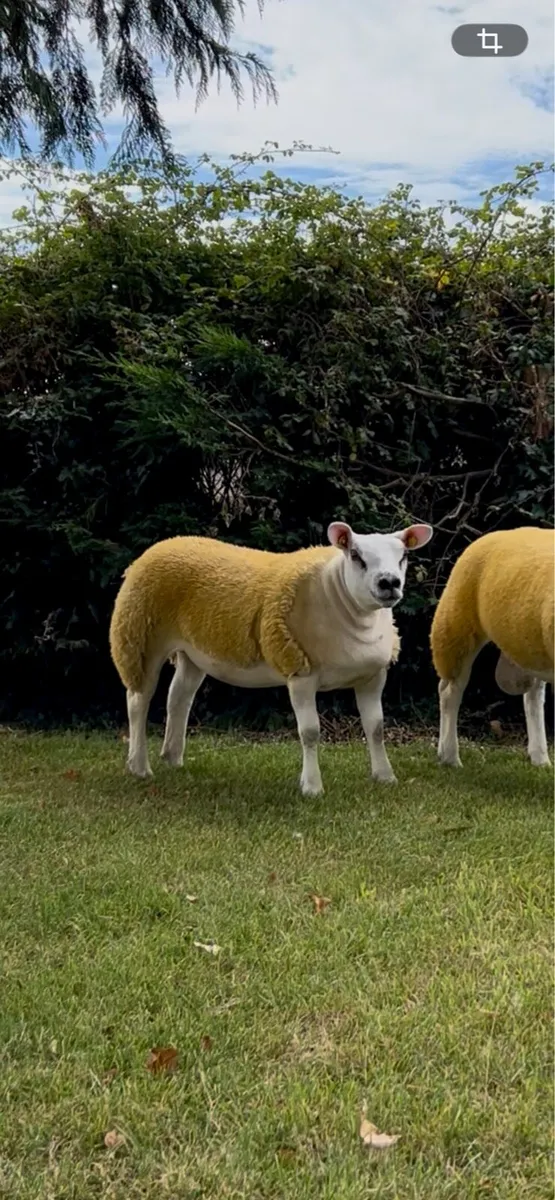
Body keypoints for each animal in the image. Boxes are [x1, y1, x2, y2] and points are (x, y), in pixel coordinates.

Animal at [109, 521, 433, 794]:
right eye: (356, 555)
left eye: (404, 555)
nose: (389, 583)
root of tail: (162, 545)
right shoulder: (299, 671)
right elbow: (310, 732)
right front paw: (312, 787)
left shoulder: (373, 676)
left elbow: (376, 728)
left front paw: (385, 776)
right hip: (138, 638)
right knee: (138, 701)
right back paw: (139, 766)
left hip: (193, 653)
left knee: (178, 698)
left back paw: (173, 758)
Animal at [430, 526, 554, 768]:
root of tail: (499, 533)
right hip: (457, 625)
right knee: (450, 691)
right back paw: (450, 757)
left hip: (532, 645)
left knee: (533, 697)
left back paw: (540, 758)